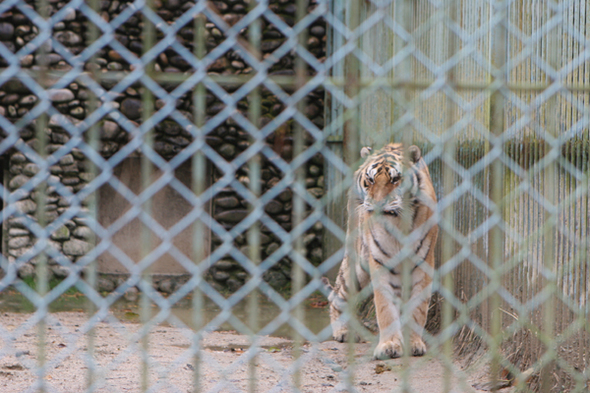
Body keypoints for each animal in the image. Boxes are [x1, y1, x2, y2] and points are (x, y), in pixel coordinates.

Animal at [324, 143, 440, 358]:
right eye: (370, 179)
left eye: (395, 179)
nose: (377, 204)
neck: (398, 222)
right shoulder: (380, 263)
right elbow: (385, 308)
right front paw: (390, 345)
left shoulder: (423, 264)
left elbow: (418, 310)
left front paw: (413, 343)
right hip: (357, 262)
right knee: (338, 293)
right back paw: (342, 331)